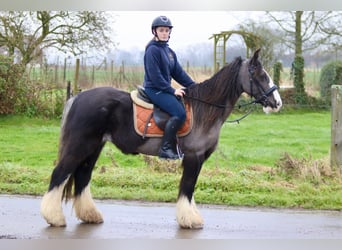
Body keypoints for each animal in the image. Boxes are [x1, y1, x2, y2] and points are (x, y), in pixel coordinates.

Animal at [40, 48, 280, 229]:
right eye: (260, 75)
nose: (277, 102)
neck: (204, 109)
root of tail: (78, 97)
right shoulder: (193, 157)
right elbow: (187, 187)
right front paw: (189, 219)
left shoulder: (198, 159)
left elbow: (190, 188)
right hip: (80, 146)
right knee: (60, 174)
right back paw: (54, 217)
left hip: (93, 148)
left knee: (82, 177)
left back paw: (90, 215)